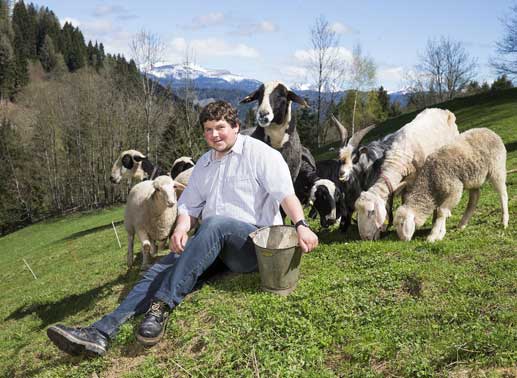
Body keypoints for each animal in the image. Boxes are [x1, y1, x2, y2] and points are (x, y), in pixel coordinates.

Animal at [352, 108, 458, 241]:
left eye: (371, 212)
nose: (365, 237)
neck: (398, 157)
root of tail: (442, 110)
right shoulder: (404, 184)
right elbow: (403, 200)